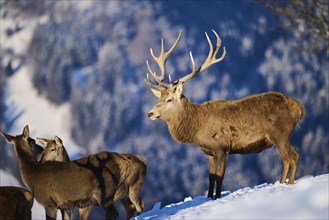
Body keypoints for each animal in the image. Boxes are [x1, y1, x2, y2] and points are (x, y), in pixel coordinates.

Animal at [0, 125, 146, 220]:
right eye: (33, 141)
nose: (40, 150)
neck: (32, 174)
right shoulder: (65, 206)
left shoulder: (49, 202)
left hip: (105, 192)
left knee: (117, 212)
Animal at [145, 29, 304, 199]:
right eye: (158, 98)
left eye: (169, 99)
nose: (150, 113)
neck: (197, 129)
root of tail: (299, 107)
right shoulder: (210, 153)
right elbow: (211, 178)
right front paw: (209, 197)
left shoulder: (222, 148)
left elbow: (219, 178)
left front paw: (217, 197)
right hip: (284, 135)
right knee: (296, 155)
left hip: (280, 133)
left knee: (289, 158)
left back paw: (285, 184)